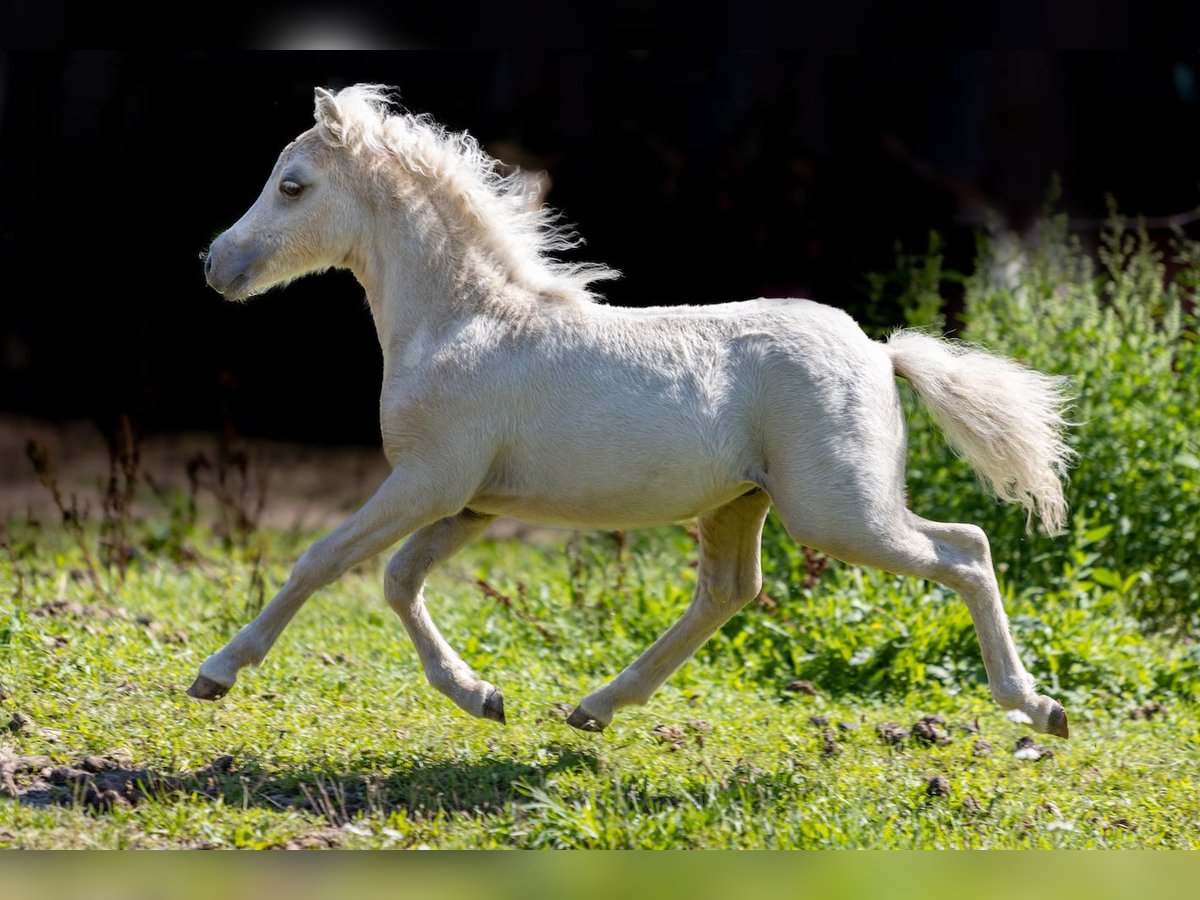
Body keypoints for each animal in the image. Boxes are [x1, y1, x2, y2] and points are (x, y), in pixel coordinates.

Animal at [192, 86, 1075, 739]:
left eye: (293, 185)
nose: (214, 265)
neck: (465, 321)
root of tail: (877, 350)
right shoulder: (471, 501)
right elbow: (398, 579)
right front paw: (480, 695)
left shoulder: (427, 481)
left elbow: (323, 560)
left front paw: (217, 672)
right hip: (742, 503)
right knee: (729, 591)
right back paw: (595, 707)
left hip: (839, 512)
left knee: (966, 551)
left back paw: (1038, 707)